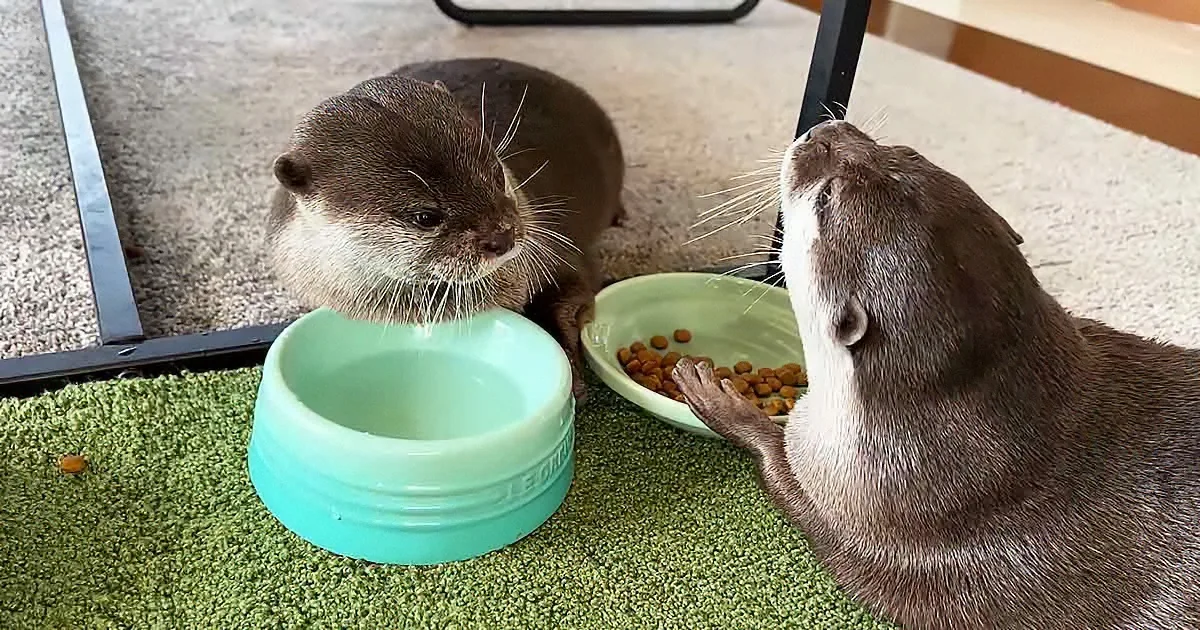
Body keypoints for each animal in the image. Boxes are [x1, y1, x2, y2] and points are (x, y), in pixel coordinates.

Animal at [673, 120, 1200, 629]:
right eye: (905, 152)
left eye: (824, 199)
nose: (824, 129)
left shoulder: (835, 492)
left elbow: (773, 462)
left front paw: (713, 394)